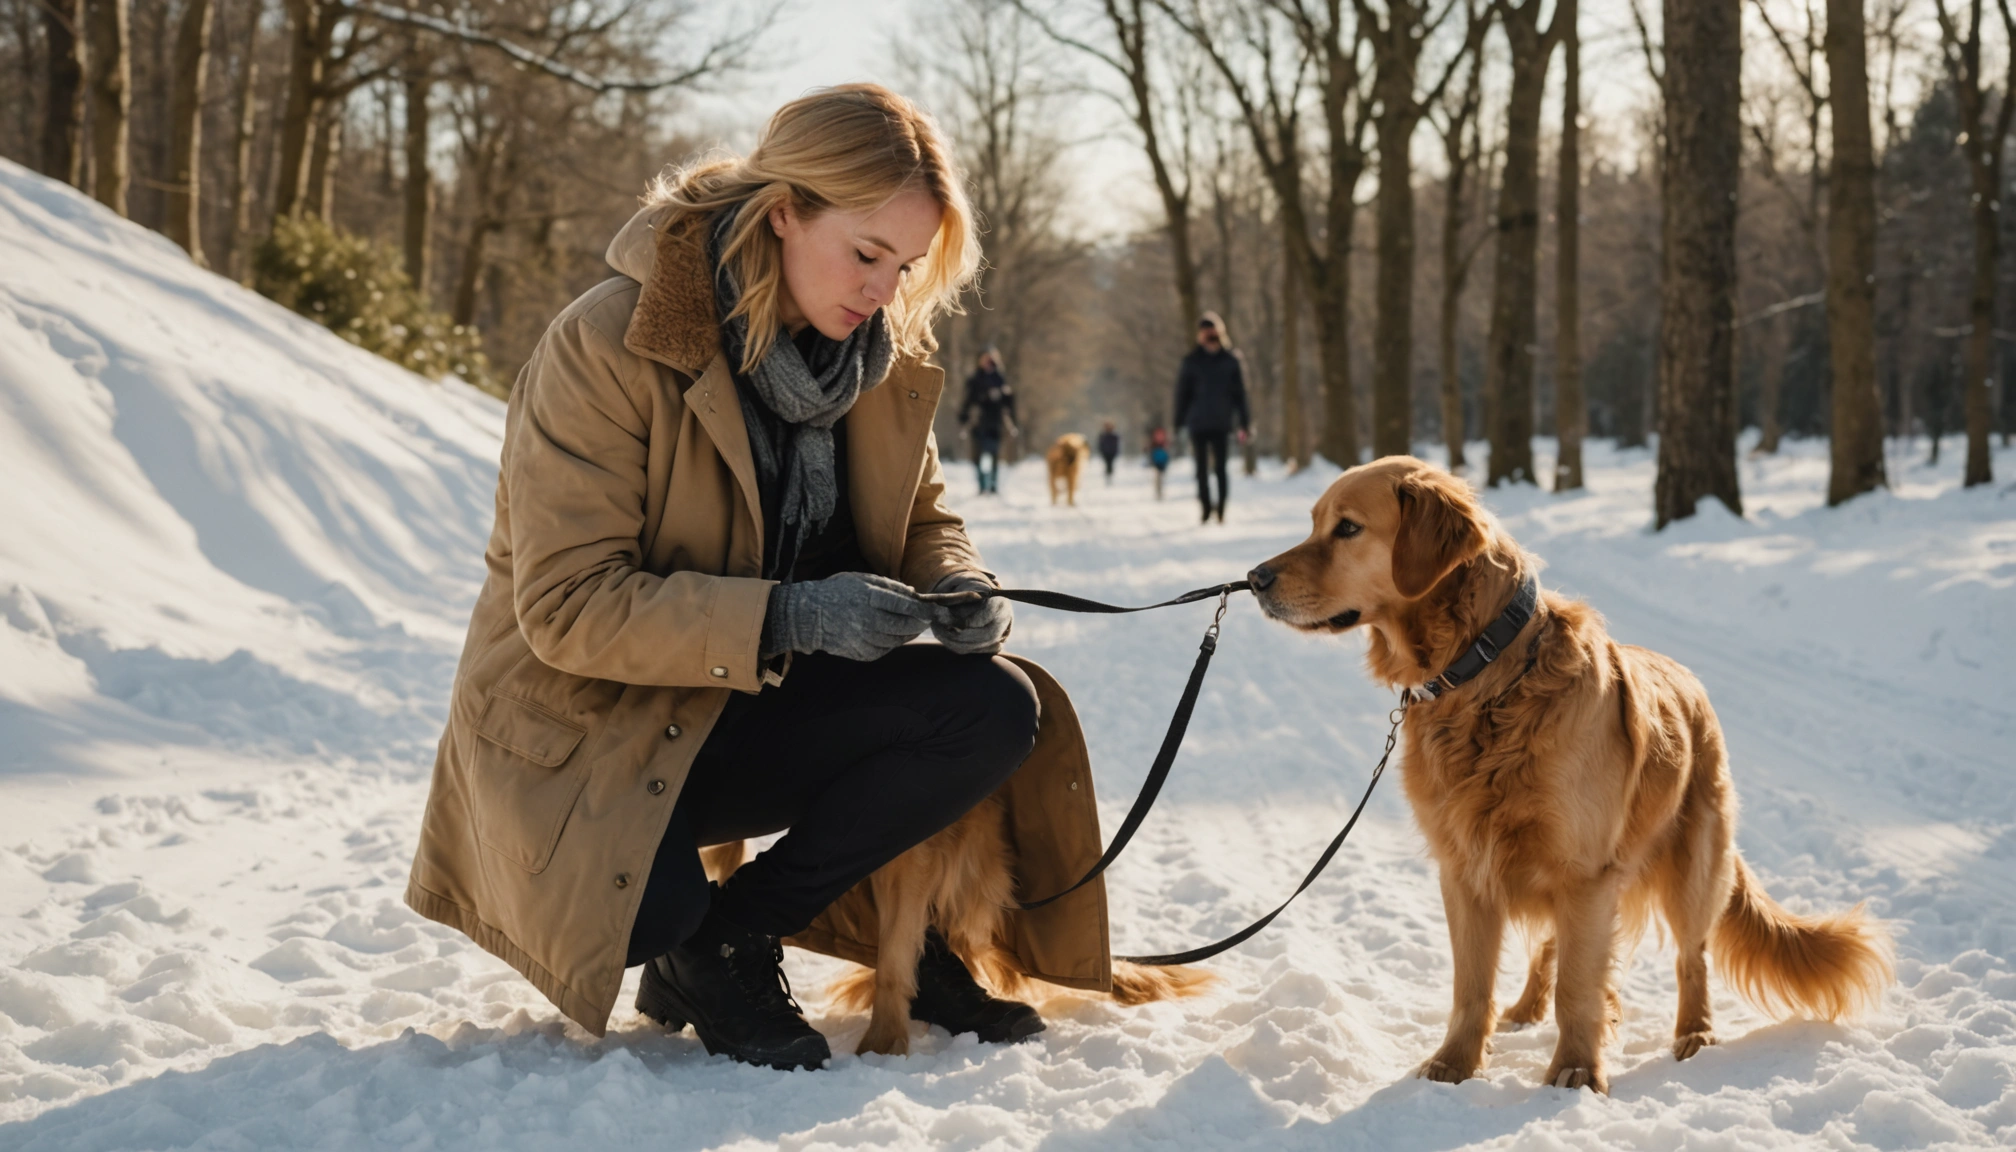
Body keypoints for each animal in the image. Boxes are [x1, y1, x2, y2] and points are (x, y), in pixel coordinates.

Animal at [1241, 455, 1886, 1097]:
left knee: (1690, 957)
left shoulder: (1584, 869)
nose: (1254, 577)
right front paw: (1456, 1063)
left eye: (1347, 528)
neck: (1485, 675)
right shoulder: (1466, 867)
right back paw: (1526, 1008)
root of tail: (1690, 680)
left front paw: (1576, 1070)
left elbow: (1579, 986)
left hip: (1691, 867)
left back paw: (1694, 1035)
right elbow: (1472, 984)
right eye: (1315, 522)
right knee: (1553, 946)